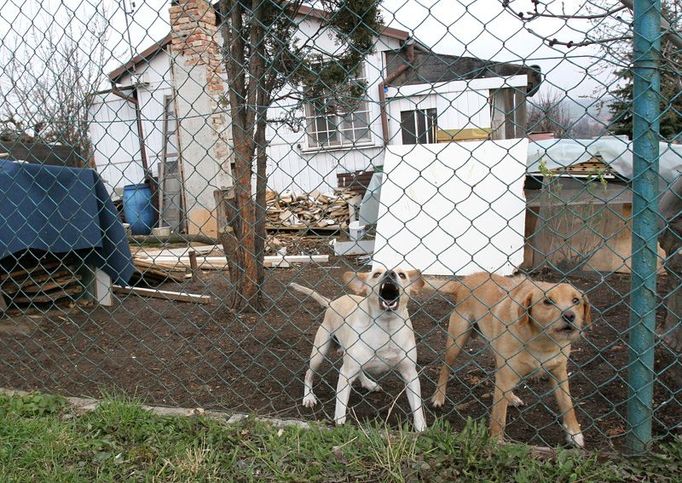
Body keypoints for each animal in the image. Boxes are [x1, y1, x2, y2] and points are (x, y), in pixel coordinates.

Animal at [428, 274, 588, 448]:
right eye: (547, 301)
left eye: (576, 301)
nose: (569, 315)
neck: (542, 342)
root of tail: (467, 279)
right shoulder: (506, 375)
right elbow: (499, 416)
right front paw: (496, 442)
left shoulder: (559, 374)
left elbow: (568, 404)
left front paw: (574, 433)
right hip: (457, 341)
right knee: (445, 368)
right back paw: (439, 396)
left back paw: (511, 397)